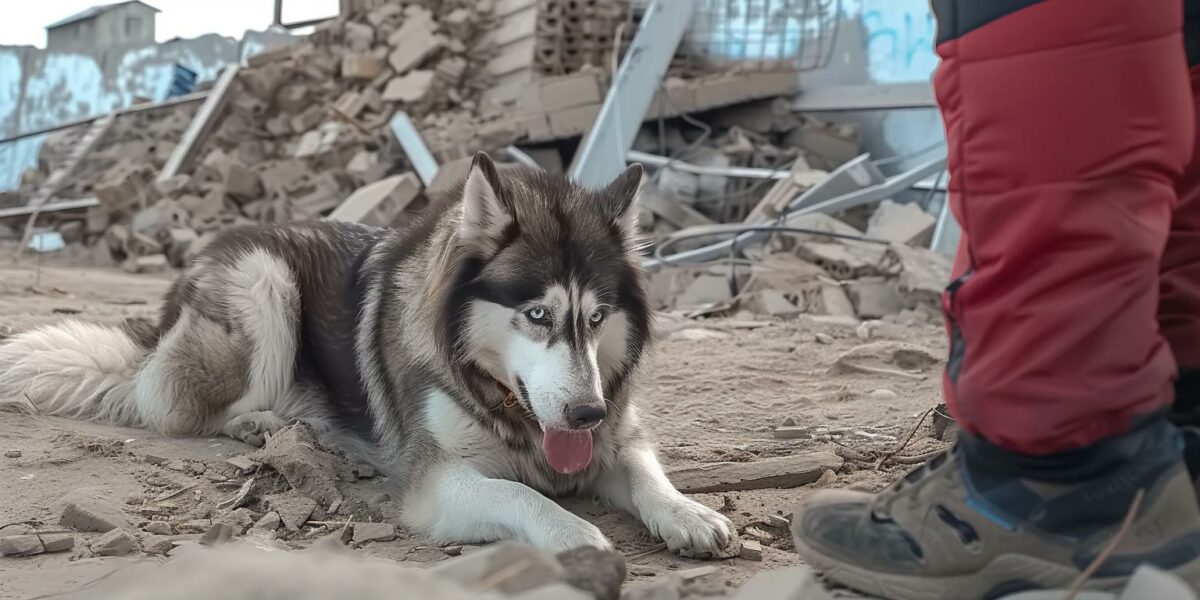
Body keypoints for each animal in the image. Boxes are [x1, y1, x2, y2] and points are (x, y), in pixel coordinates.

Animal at [0, 152, 729, 554]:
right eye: (538, 315)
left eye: (597, 317)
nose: (584, 414)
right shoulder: (438, 480)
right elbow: (523, 496)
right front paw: (574, 535)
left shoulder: (616, 433)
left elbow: (644, 470)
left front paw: (688, 513)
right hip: (264, 282)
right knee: (187, 407)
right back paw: (269, 426)